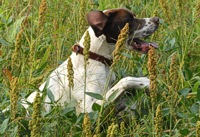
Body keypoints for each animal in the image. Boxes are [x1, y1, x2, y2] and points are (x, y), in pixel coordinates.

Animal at [20, 8, 159, 114]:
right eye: (129, 20)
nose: (157, 19)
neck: (94, 57)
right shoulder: (88, 108)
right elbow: (124, 81)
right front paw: (144, 81)